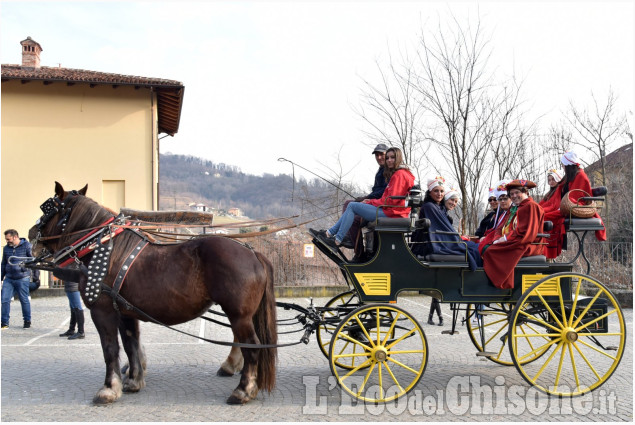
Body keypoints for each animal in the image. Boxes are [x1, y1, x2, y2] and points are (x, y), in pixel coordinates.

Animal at [28, 182, 276, 404]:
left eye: (46, 209)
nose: (31, 234)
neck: (105, 248)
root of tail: (252, 253)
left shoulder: (102, 310)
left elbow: (110, 348)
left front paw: (109, 388)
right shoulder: (125, 312)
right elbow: (130, 344)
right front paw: (133, 380)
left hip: (239, 315)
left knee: (252, 347)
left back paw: (243, 390)